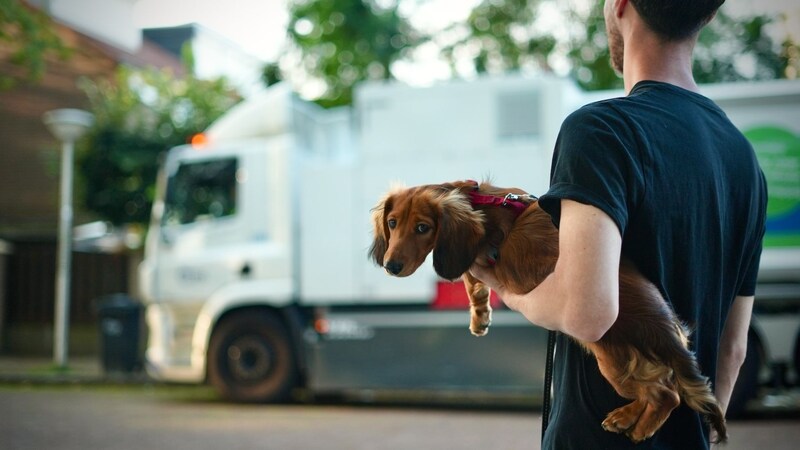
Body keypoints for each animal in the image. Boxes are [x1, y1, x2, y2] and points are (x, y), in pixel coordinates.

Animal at [369, 179, 727, 443]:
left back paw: (636, 426)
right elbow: (473, 283)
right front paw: (480, 315)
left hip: (611, 360)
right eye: (392, 223)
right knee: (665, 387)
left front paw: (478, 311)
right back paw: (626, 417)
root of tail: (664, 327)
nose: (390, 266)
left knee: (666, 395)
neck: (476, 202)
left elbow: (471, 276)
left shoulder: (480, 254)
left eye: (423, 228)